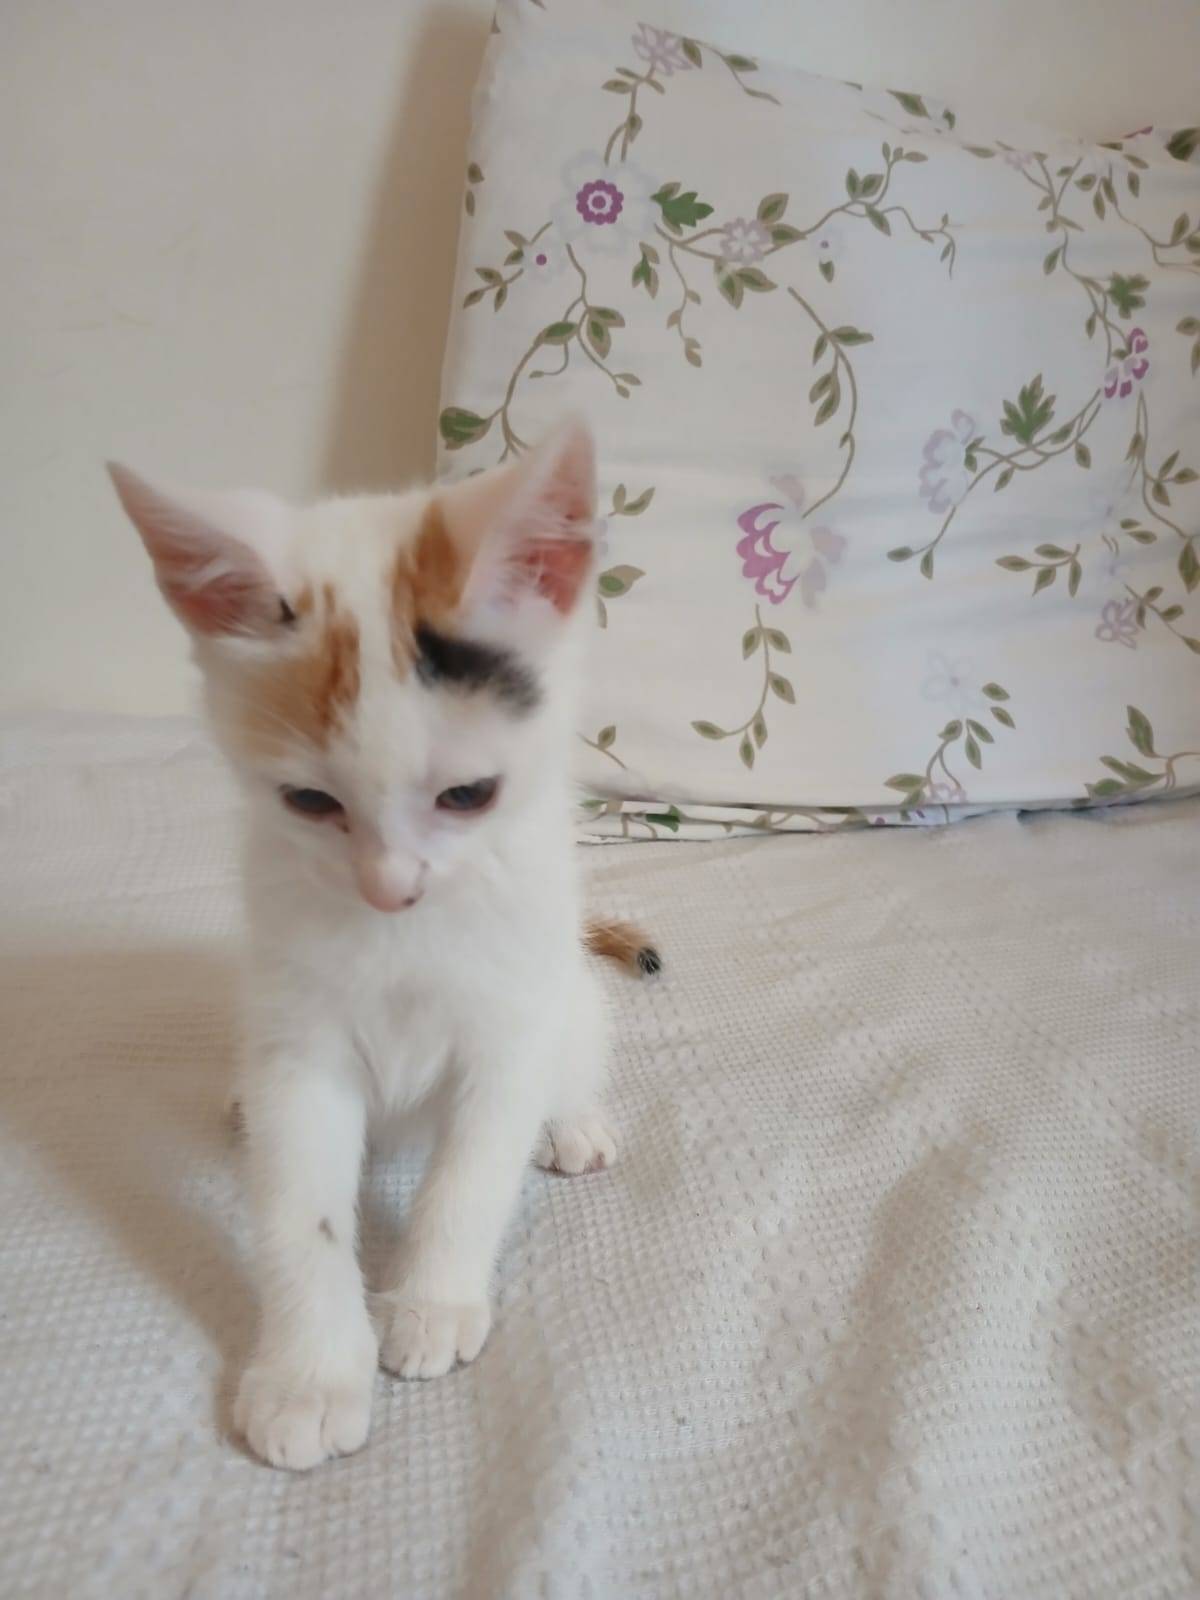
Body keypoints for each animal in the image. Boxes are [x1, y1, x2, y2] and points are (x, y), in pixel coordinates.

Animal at [109, 418, 657, 1471]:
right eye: (308, 801)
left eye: (468, 795)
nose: (390, 890)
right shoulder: (298, 1040)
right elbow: (301, 1209)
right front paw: (309, 1374)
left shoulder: (509, 1020)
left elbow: (473, 1169)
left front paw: (432, 1302)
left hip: (567, 985)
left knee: (573, 1049)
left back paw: (572, 1121)